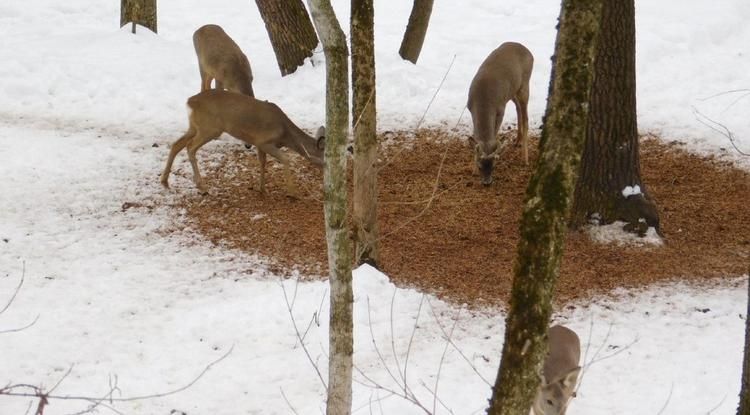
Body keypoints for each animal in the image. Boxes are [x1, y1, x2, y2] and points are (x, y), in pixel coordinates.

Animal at [162, 89, 326, 195]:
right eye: (324, 158)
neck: (285, 134)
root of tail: (190, 102)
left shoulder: (259, 143)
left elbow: (262, 162)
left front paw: (261, 188)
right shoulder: (264, 141)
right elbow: (285, 158)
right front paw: (293, 192)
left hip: (195, 126)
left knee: (176, 144)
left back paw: (165, 182)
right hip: (210, 128)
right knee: (190, 147)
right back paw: (202, 187)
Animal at [470, 41, 536, 185]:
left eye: (494, 165)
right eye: (480, 166)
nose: (487, 183)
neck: (484, 101)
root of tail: (528, 51)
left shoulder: (500, 109)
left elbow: (495, 133)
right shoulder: (470, 108)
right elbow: (475, 135)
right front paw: (472, 169)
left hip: (524, 85)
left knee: (526, 118)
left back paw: (525, 160)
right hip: (512, 91)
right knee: (518, 108)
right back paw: (517, 140)